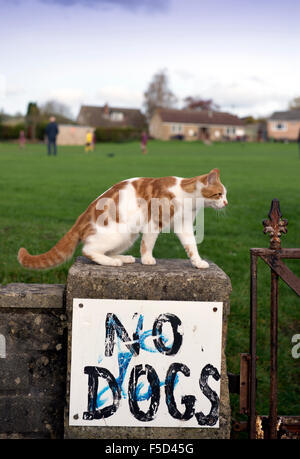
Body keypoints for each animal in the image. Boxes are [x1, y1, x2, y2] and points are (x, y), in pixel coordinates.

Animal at [18, 168, 227, 270]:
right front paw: (147, 259)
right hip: (120, 232)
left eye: (225, 195)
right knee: (89, 251)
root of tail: (81, 218)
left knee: (105, 251)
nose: (226, 203)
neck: (187, 195)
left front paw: (198, 262)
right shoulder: (153, 222)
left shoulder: (184, 226)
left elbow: (192, 247)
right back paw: (112, 262)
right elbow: (148, 243)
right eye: (219, 194)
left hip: (128, 236)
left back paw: (122, 258)